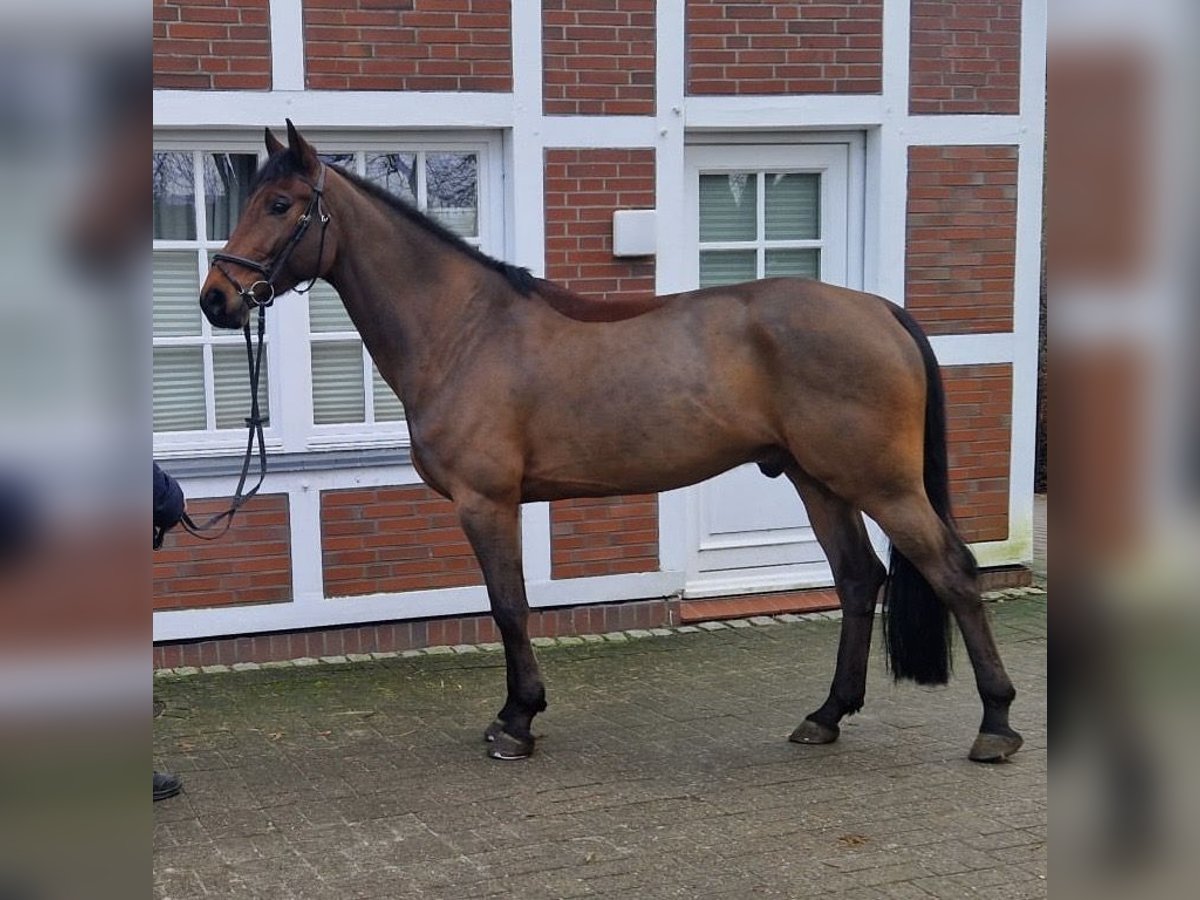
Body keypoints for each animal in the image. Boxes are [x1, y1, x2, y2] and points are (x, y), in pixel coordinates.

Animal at [196, 121, 1022, 763]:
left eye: (279, 204)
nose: (215, 299)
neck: (464, 331)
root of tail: (882, 310)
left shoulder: (486, 503)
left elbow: (509, 607)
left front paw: (517, 722)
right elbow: (510, 605)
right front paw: (517, 713)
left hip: (882, 485)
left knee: (954, 573)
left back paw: (996, 724)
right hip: (818, 481)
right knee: (856, 580)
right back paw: (825, 717)